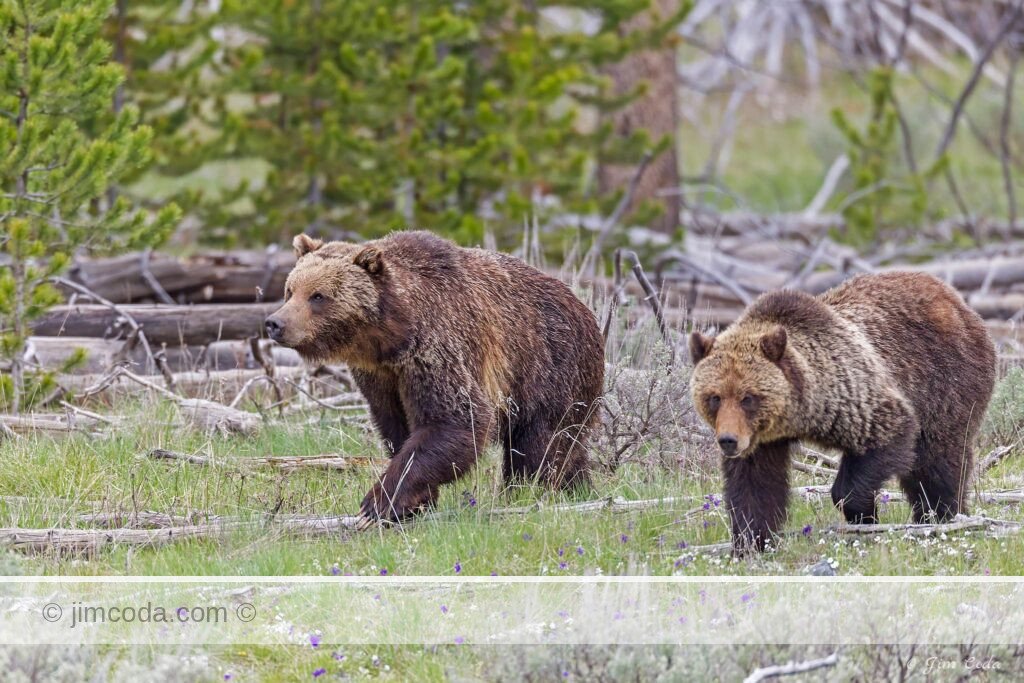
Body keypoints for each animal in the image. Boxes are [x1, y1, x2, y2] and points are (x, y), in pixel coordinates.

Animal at [265, 230, 605, 525]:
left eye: (318, 296)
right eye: (290, 290)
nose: (274, 323)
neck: (388, 338)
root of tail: (586, 309)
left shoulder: (434, 349)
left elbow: (455, 419)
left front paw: (378, 503)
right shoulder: (381, 376)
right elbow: (398, 428)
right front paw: (417, 502)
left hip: (548, 370)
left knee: (538, 446)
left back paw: (526, 493)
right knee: (568, 448)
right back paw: (579, 489)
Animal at [689, 272, 996, 553]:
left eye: (748, 398)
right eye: (714, 397)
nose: (728, 440)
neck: (801, 413)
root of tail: (957, 300)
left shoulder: (851, 394)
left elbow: (888, 434)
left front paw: (864, 518)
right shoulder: (760, 440)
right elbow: (754, 487)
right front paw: (750, 543)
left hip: (945, 382)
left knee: (937, 459)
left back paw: (941, 516)